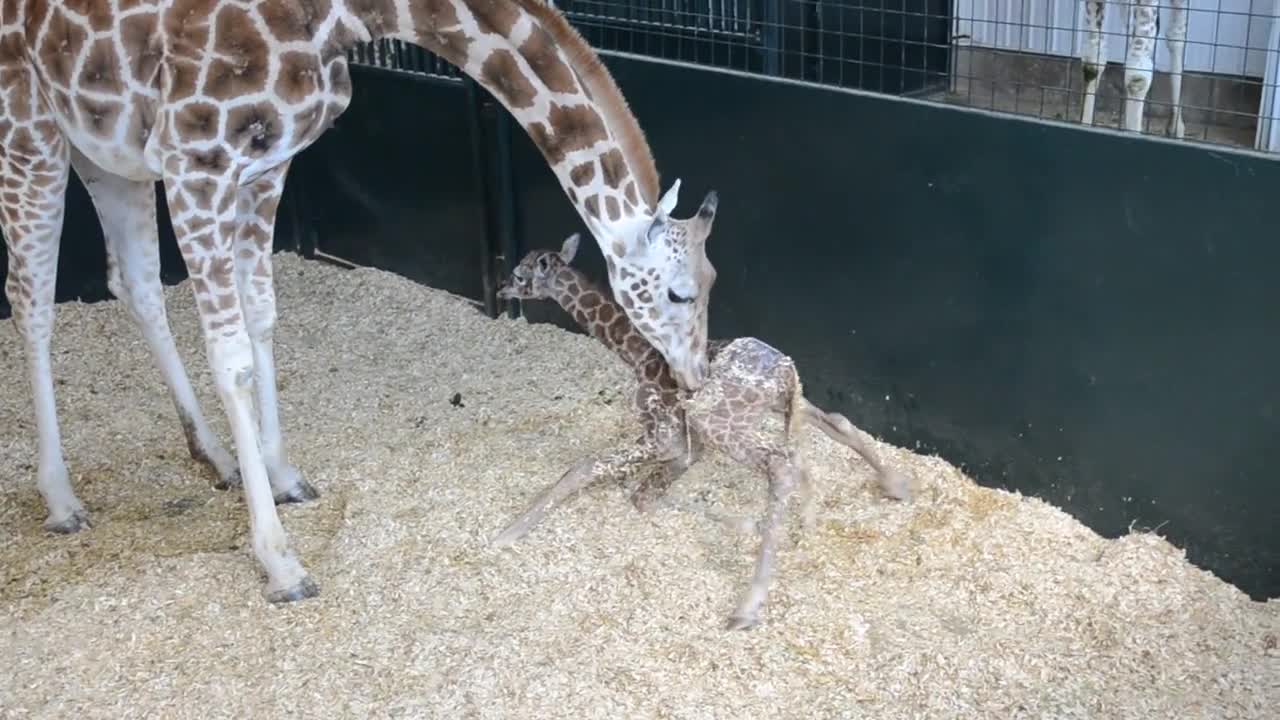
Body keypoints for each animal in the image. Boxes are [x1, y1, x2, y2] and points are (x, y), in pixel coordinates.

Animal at [0, 0, 720, 602]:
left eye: (715, 279)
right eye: (680, 291)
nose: (693, 379)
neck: (344, 15)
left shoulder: (266, 165)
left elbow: (262, 316)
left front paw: (283, 476)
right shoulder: (196, 162)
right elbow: (231, 356)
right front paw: (280, 563)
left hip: (103, 147)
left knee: (137, 282)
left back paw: (215, 457)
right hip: (28, 125)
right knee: (31, 297)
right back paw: (61, 500)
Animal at [490, 234, 913, 629]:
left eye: (520, 274)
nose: (500, 289)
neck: (637, 354)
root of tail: (785, 373)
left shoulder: (667, 433)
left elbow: (588, 470)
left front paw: (507, 533)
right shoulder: (687, 444)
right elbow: (644, 495)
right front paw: (742, 523)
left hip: (723, 421)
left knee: (781, 464)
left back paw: (747, 606)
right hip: (784, 406)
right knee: (833, 425)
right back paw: (879, 494)